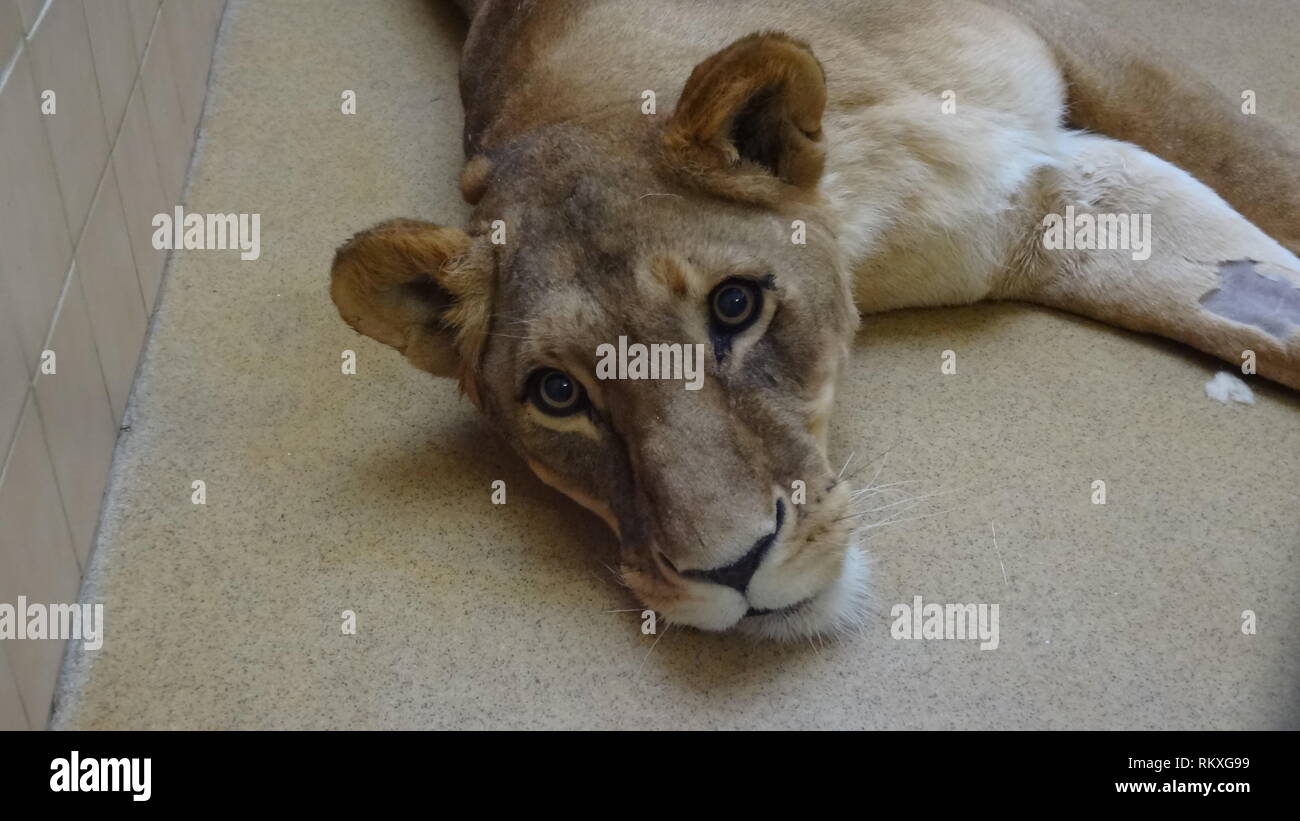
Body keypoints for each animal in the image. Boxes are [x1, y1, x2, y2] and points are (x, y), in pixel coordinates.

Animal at [330, 1, 1300, 641]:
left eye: (735, 306)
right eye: (557, 393)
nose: (732, 571)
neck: (864, 199)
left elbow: (1257, 167)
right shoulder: (1056, 211)